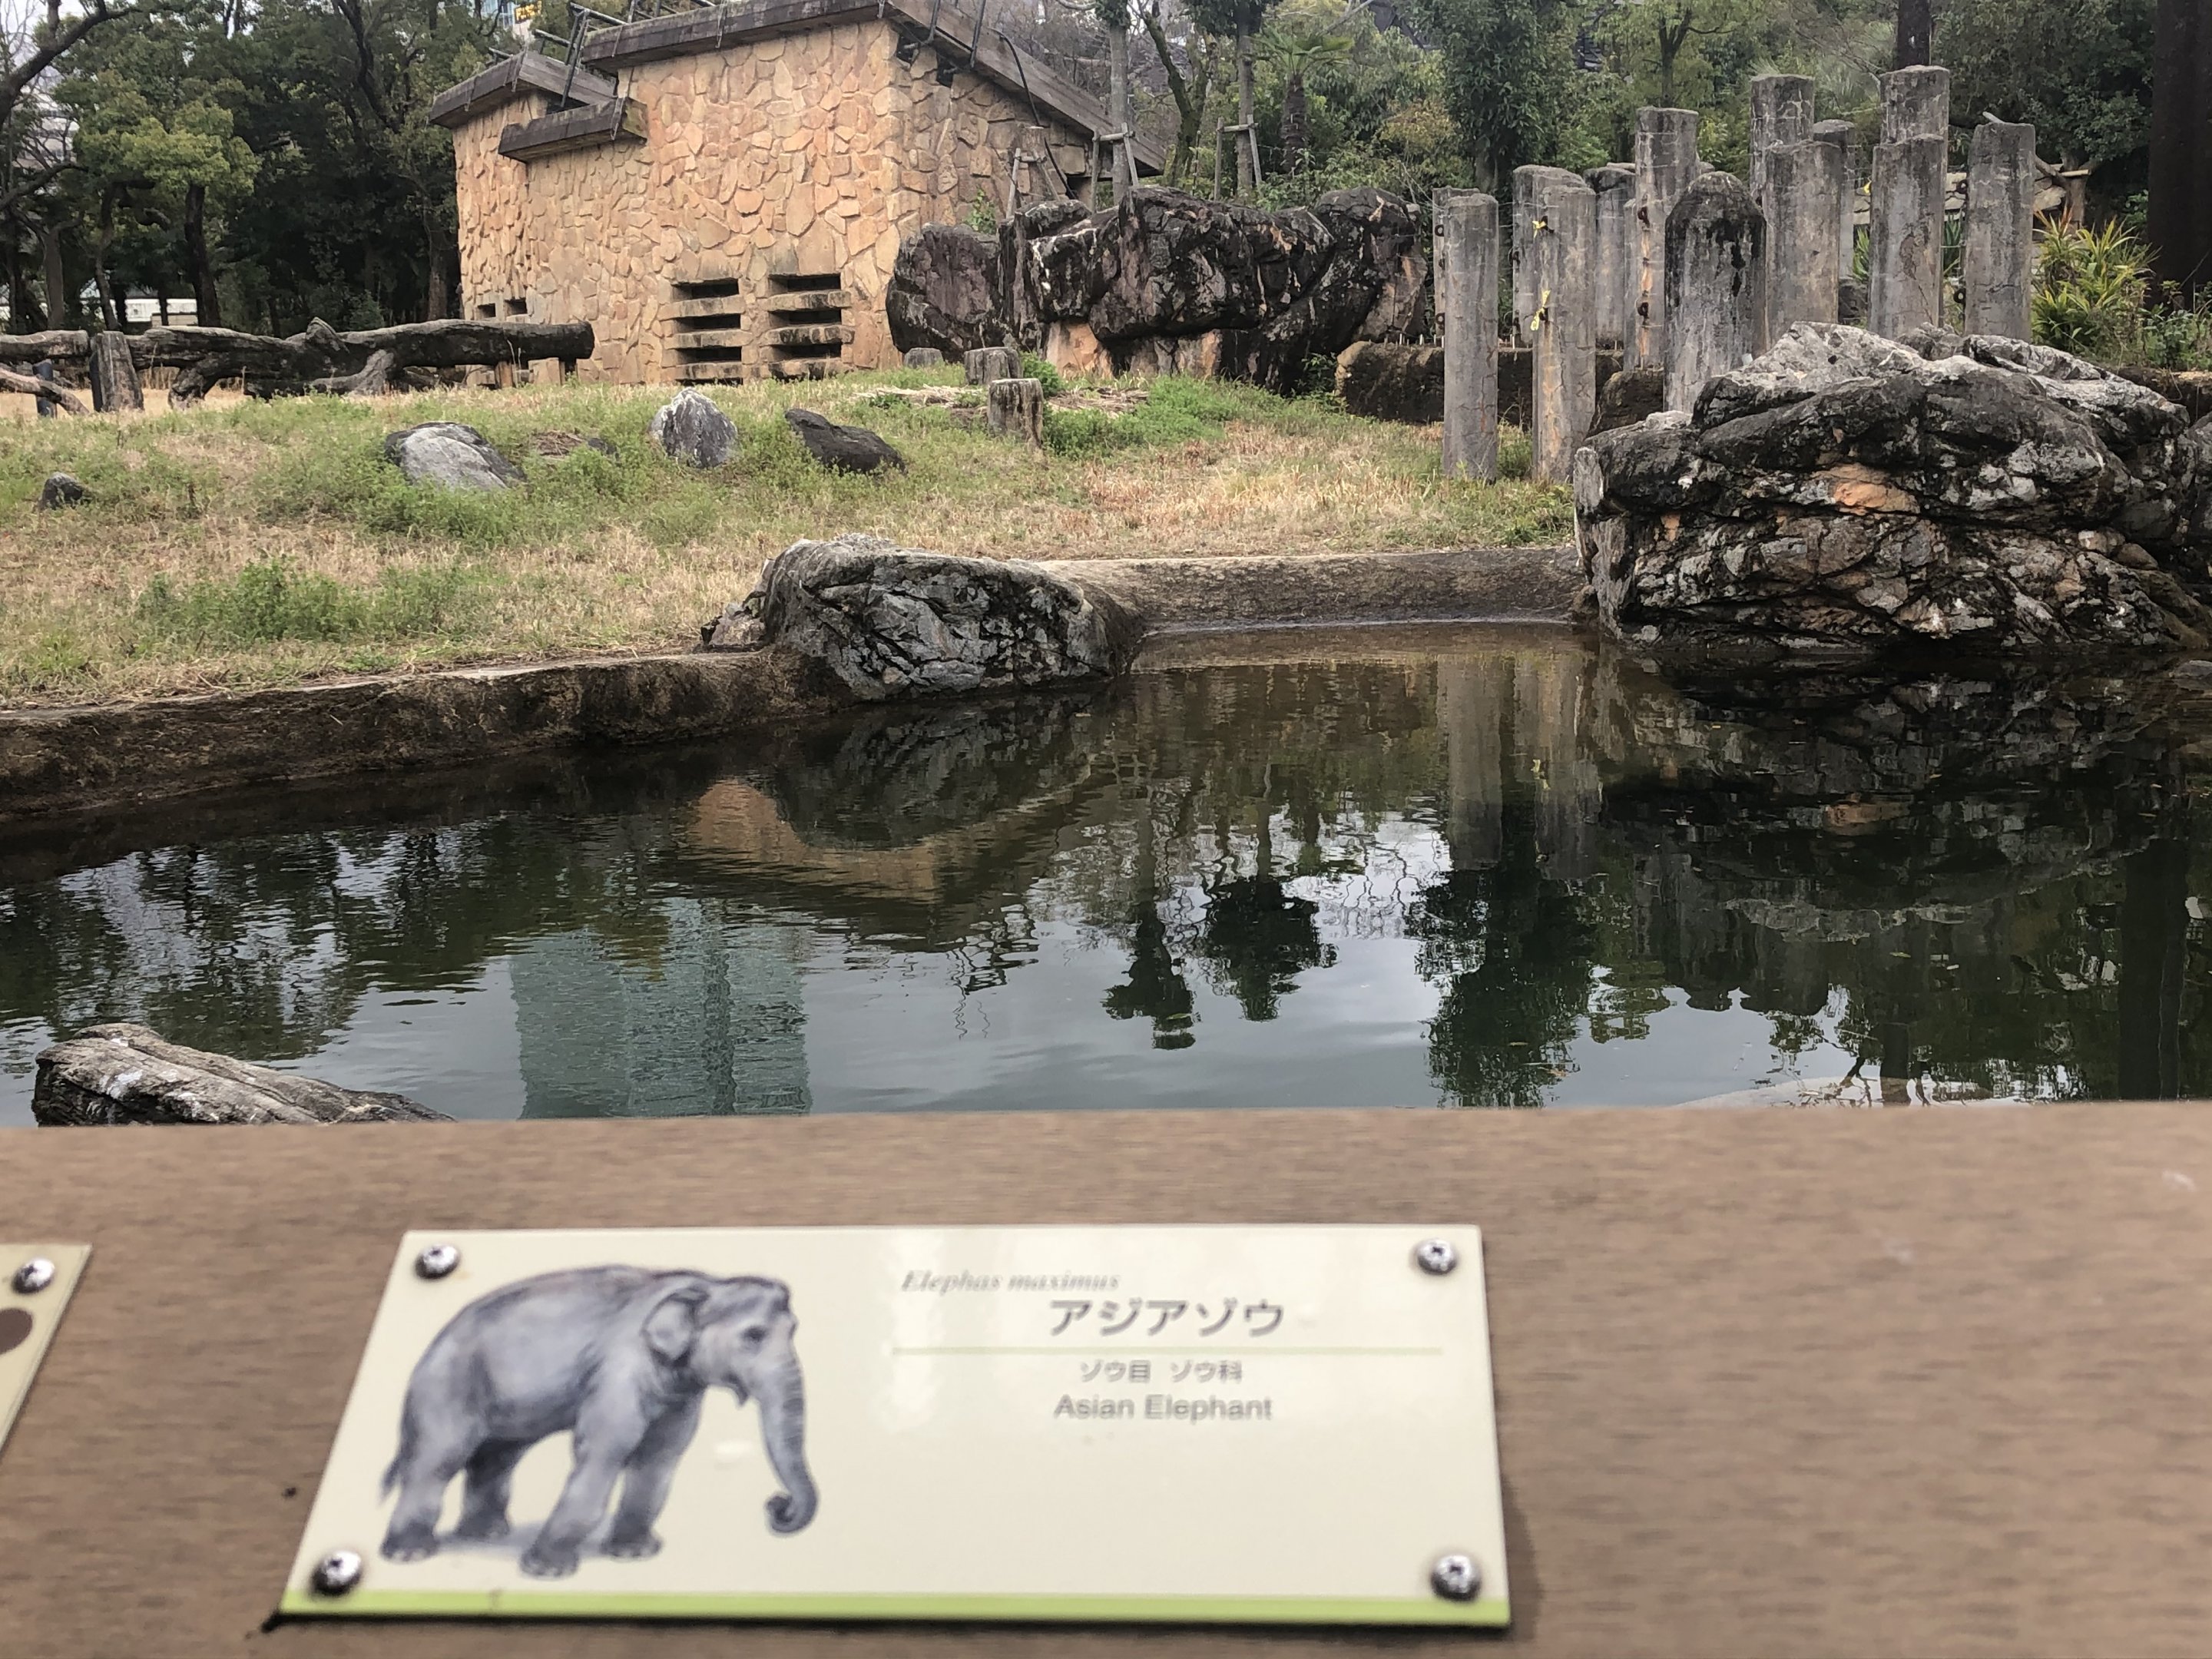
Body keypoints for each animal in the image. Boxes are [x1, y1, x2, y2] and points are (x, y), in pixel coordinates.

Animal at [378, 1266, 816, 1578]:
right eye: (754, 1335)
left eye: (795, 1330)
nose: (777, 1505)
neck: (706, 1285)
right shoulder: (620, 1368)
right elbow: (606, 1449)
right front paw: (546, 1572)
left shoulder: (680, 1391)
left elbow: (660, 1457)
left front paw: (633, 1554)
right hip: (448, 1387)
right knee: (439, 1459)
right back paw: (409, 1555)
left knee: (496, 1457)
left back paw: (484, 1535)